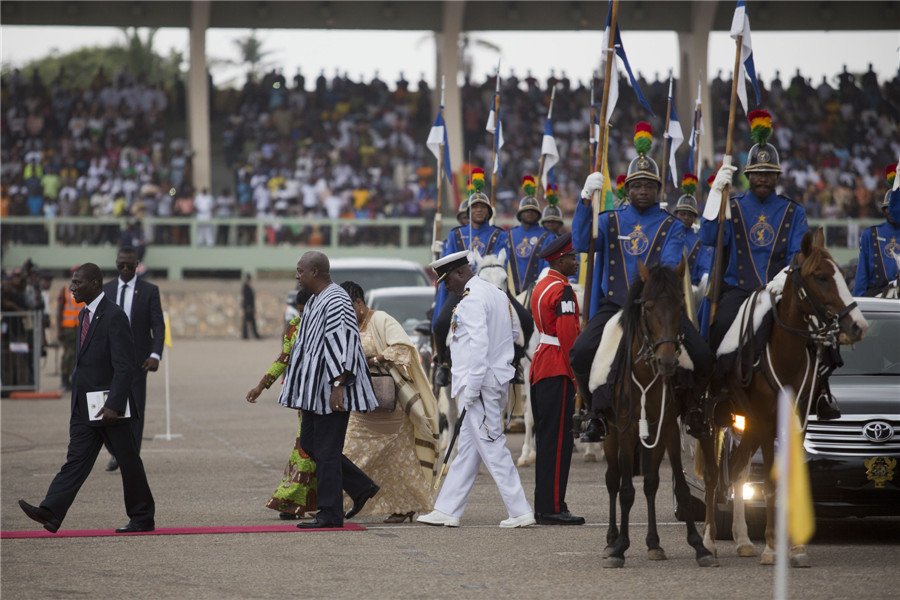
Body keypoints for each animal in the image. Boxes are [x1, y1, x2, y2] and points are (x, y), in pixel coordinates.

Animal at [596, 262, 716, 568]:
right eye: (648, 308)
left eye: (680, 307)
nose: (668, 361)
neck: (646, 372)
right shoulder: (626, 428)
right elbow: (626, 490)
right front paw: (621, 547)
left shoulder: (668, 427)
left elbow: (679, 488)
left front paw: (699, 546)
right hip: (610, 433)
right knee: (612, 480)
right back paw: (611, 540)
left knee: (650, 482)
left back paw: (653, 543)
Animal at [700, 229, 868, 568]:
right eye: (821, 276)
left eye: (840, 274)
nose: (857, 325)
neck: (784, 354)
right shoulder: (768, 420)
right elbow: (769, 482)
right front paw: (770, 546)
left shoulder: (797, 420)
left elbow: (789, 476)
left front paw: (795, 547)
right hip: (714, 418)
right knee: (713, 476)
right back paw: (709, 541)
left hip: (747, 420)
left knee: (738, 467)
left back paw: (742, 540)